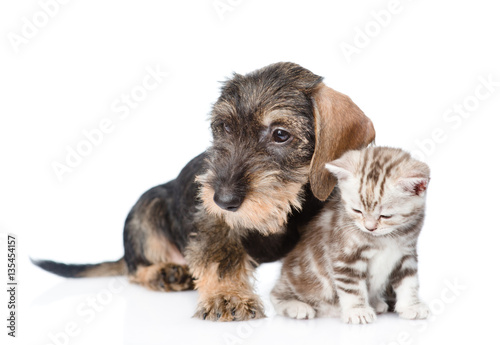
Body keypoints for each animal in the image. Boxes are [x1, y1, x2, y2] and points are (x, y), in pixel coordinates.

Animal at [33, 61, 376, 320]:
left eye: (280, 134)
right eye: (224, 127)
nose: (222, 200)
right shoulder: (213, 222)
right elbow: (221, 257)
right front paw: (228, 296)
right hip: (147, 207)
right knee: (134, 268)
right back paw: (164, 273)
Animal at [272, 147, 432, 322]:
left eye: (386, 216)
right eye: (357, 211)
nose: (370, 228)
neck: (385, 238)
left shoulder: (406, 254)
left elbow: (409, 282)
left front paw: (411, 306)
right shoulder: (346, 258)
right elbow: (352, 288)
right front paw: (358, 311)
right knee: (276, 294)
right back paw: (297, 306)